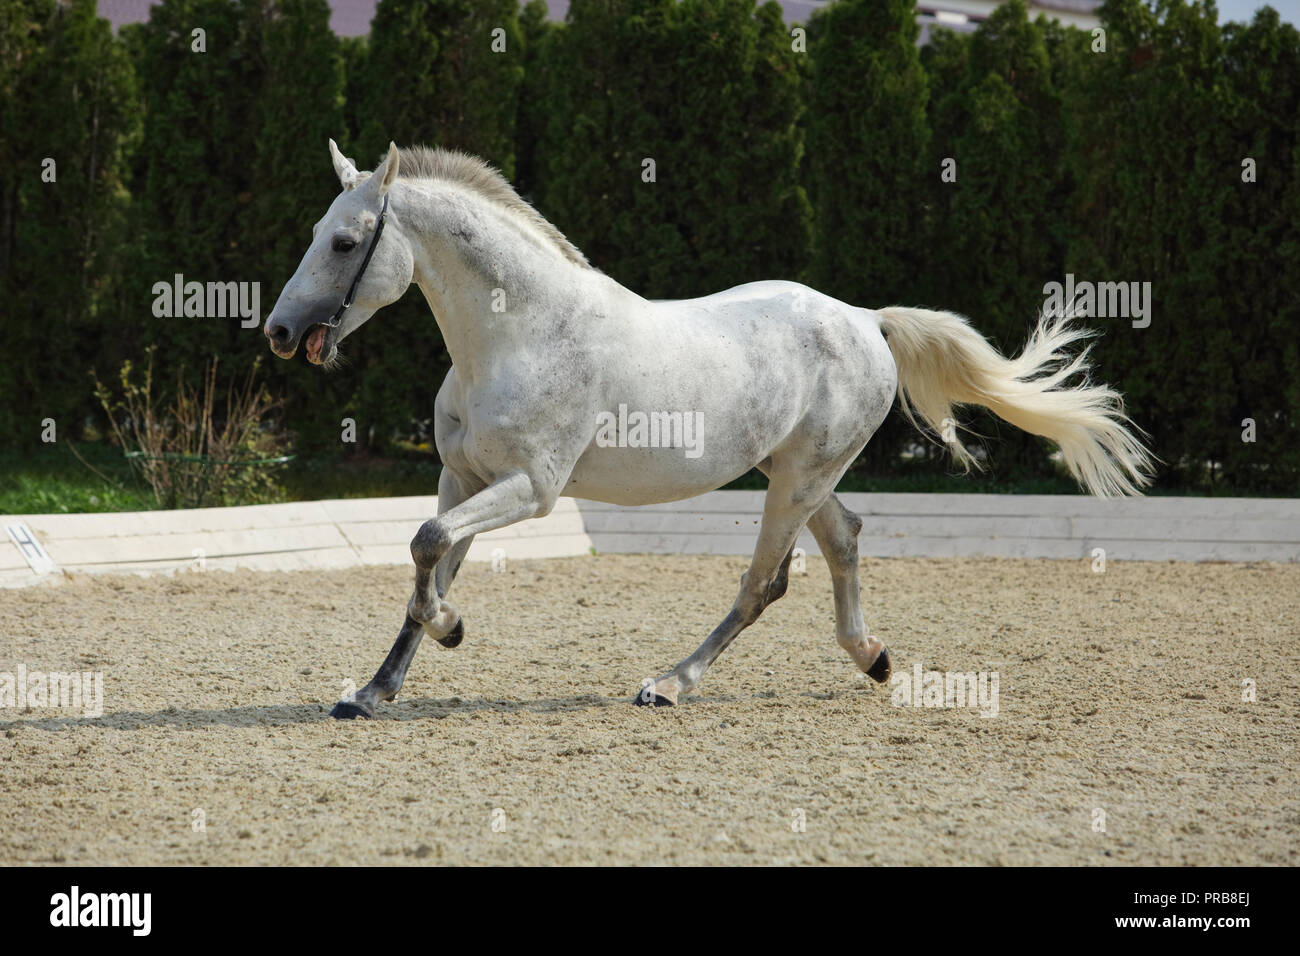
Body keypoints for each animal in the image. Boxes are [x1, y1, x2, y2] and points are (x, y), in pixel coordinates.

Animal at [261, 138, 1149, 712]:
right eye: (315, 235)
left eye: (345, 242)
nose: (279, 332)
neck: (521, 332)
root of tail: (866, 320)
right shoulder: (463, 478)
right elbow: (431, 560)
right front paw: (374, 689)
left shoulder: (530, 490)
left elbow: (427, 548)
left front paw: (449, 632)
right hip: (796, 473)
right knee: (845, 539)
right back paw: (874, 660)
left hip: (797, 479)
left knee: (764, 582)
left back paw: (669, 684)